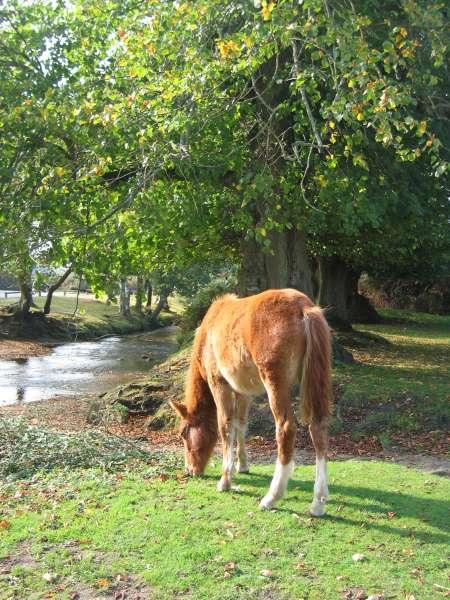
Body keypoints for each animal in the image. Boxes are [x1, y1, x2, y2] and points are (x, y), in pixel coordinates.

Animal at [171, 288, 332, 512]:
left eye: (183, 433)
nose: (190, 470)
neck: (208, 331)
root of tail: (303, 308)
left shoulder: (219, 384)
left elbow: (225, 426)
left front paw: (225, 480)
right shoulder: (243, 391)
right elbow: (241, 425)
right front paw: (242, 465)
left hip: (276, 384)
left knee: (285, 429)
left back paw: (272, 497)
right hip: (314, 382)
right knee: (318, 428)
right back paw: (318, 501)